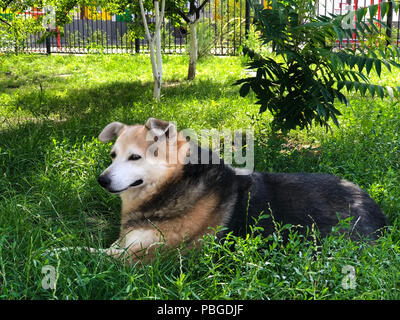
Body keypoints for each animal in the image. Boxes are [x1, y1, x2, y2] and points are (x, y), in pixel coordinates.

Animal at [89, 117, 386, 262]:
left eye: (135, 157)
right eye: (113, 155)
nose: (101, 180)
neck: (174, 184)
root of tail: (377, 212)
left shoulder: (137, 258)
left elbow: (82, 253)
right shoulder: (125, 243)